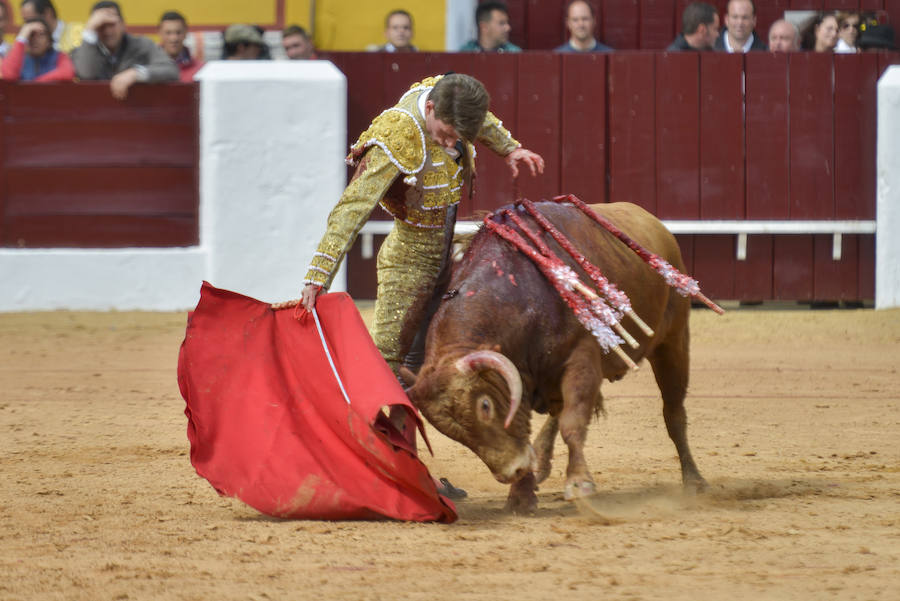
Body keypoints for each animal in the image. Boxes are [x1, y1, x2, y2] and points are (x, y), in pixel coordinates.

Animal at [404, 200, 708, 510]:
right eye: (450, 431)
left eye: (485, 406)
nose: (512, 470)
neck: (521, 294)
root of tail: (657, 225)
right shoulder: (525, 375)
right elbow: (537, 424)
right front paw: (521, 496)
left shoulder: (581, 358)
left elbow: (573, 422)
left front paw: (579, 483)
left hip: (674, 342)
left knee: (673, 413)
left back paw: (694, 481)